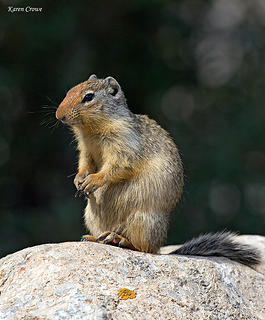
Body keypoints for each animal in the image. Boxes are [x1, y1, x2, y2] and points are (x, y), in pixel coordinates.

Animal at [55, 75, 260, 268]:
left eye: (88, 97)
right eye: (69, 91)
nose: (59, 115)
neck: (92, 131)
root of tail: (161, 248)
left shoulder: (124, 146)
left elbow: (117, 167)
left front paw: (93, 180)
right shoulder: (86, 150)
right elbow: (84, 164)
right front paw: (79, 179)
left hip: (143, 221)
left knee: (144, 249)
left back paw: (119, 239)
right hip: (92, 216)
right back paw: (94, 237)